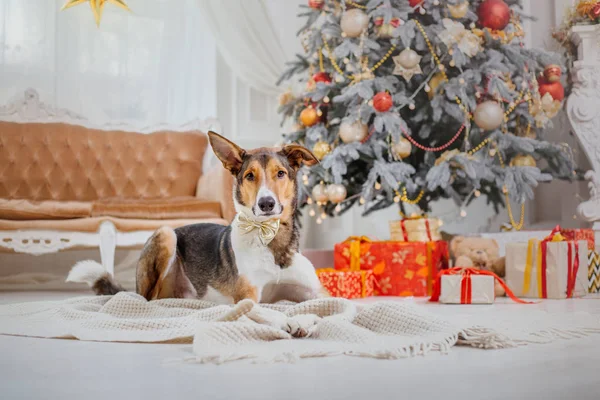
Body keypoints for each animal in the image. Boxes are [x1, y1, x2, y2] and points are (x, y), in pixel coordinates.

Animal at [69, 132, 328, 338]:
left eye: (281, 173)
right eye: (250, 176)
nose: (266, 203)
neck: (272, 239)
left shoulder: (317, 292)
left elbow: (325, 304)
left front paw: (306, 318)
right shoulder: (246, 298)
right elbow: (269, 310)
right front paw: (291, 320)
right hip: (166, 235)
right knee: (148, 300)